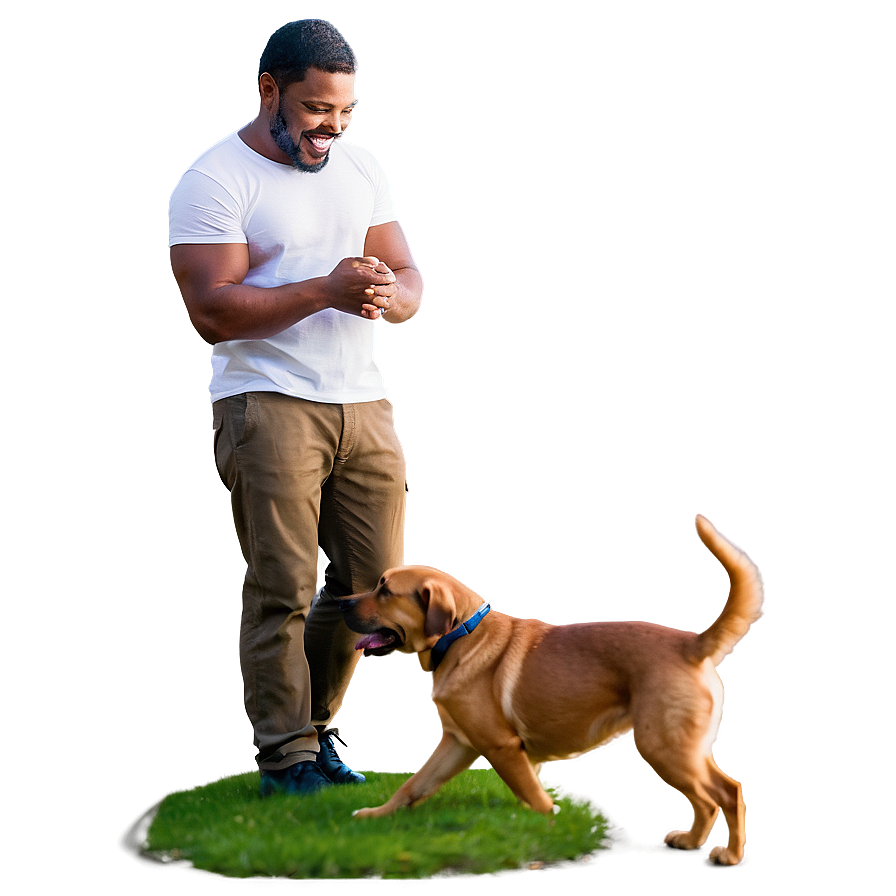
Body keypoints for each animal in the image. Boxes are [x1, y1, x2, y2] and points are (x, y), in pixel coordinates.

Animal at [340, 520, 760, 868]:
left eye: (385, 591)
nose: (340, 602)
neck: (460, 636)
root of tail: (690, 644)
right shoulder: (457, 744)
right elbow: (414, 785)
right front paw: (377, 815)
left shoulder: (502, 747)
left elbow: (534, 798)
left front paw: (551, 822)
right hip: (682, 748)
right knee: (713, 797)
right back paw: (693, 841)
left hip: (664, 746)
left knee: (725, 794)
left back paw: (730, 855)